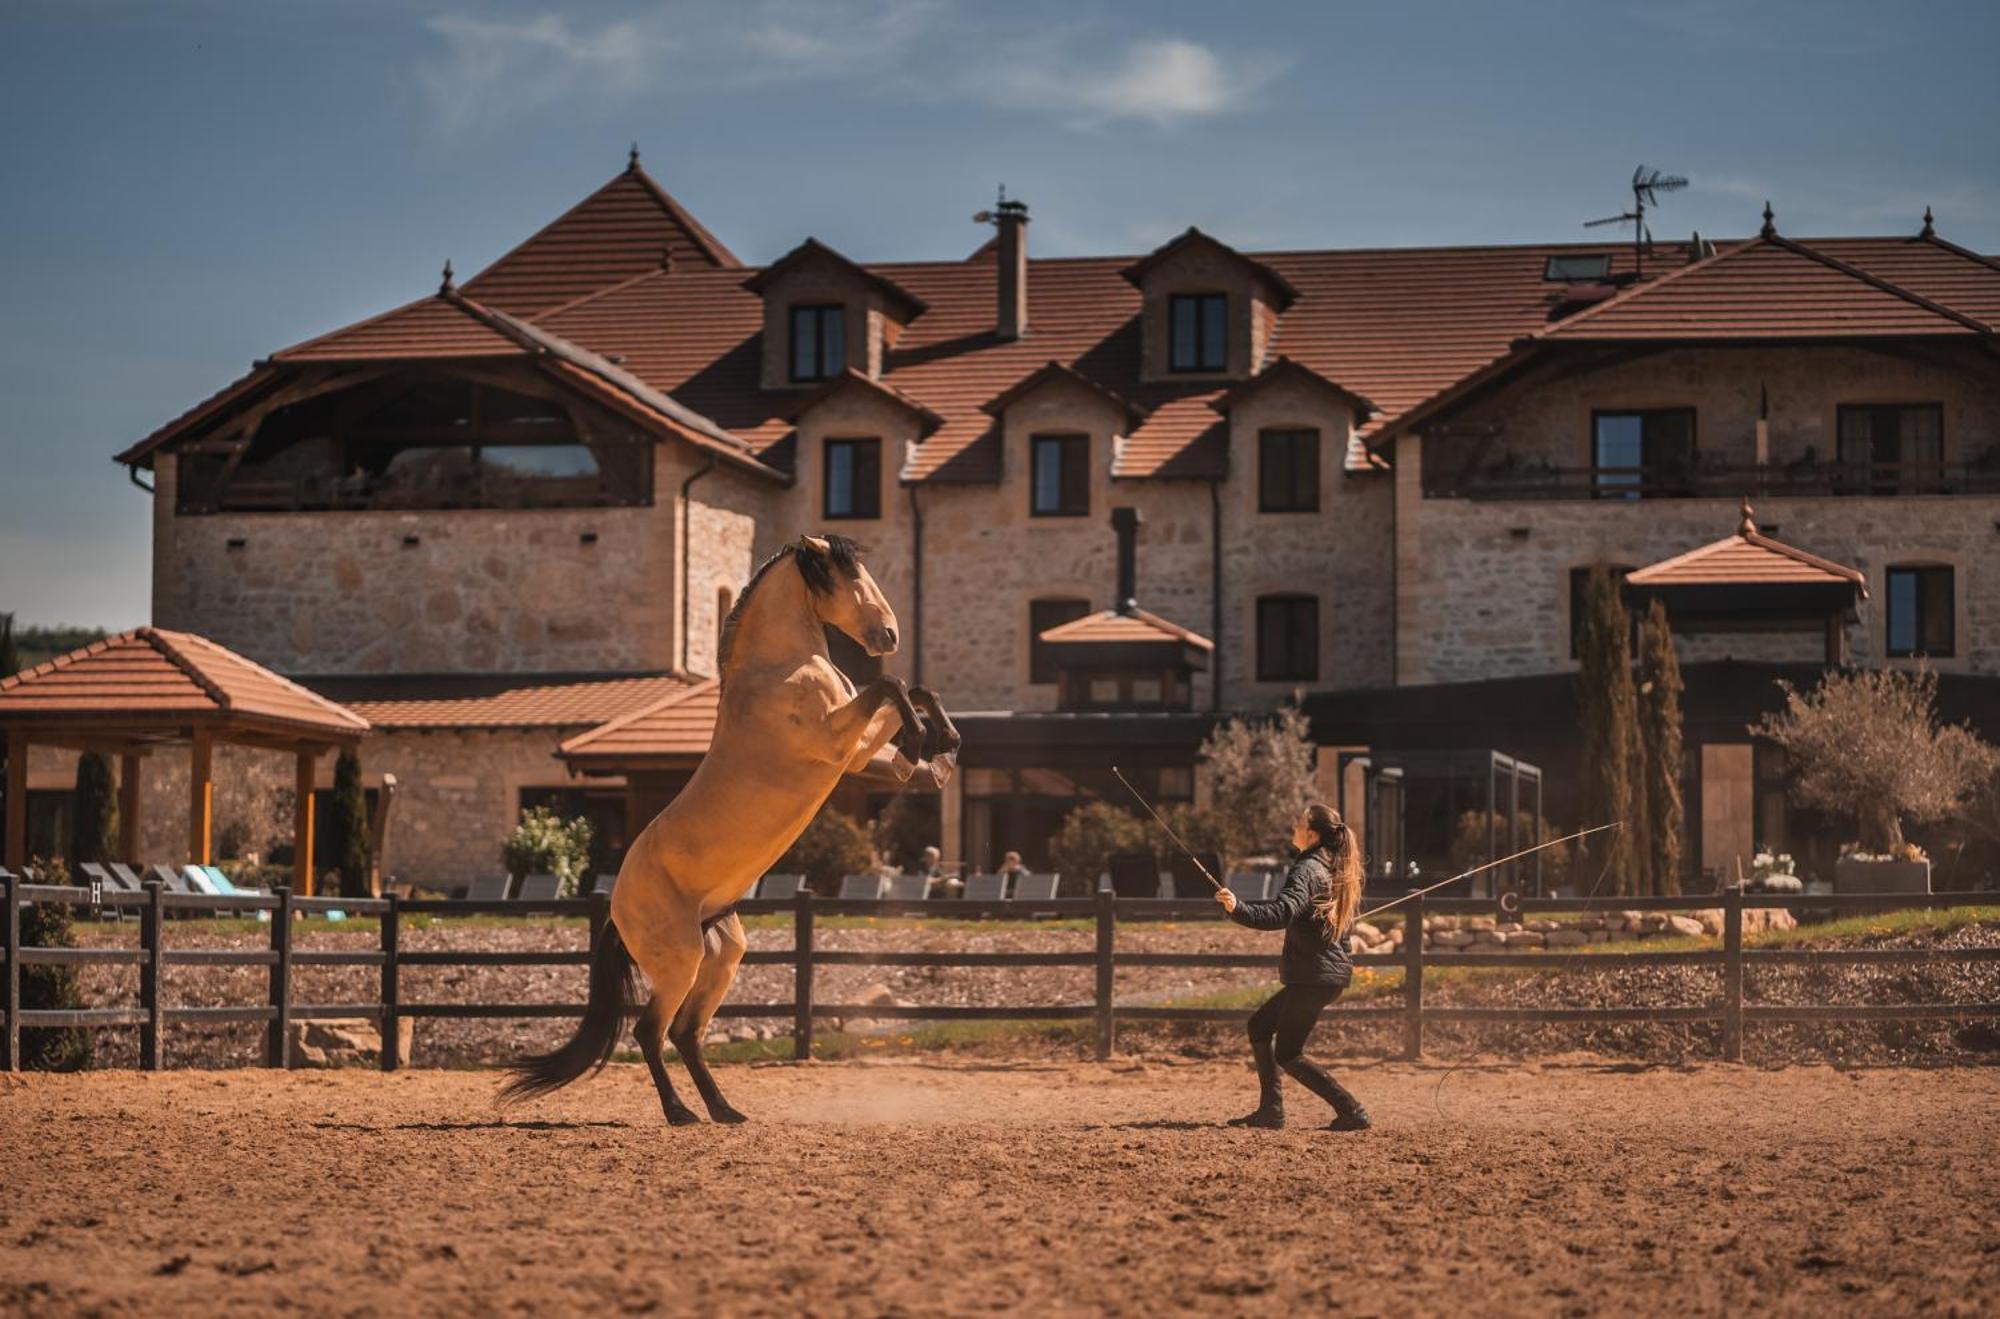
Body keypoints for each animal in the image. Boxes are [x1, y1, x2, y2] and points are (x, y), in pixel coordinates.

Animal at [496, 535, 956, 1127]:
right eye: (849, 575)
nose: (890, 635)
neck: (780, 667)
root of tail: (618, 909)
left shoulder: (853, 756)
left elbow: (912, 691)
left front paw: (939, 751)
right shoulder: (837, 742)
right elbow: (891, 686)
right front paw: (925, 744)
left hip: (721, 955)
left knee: (687, 1033)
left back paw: (723, 1109)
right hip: (680, 963)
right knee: (651, 1031)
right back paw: (680, 1113)